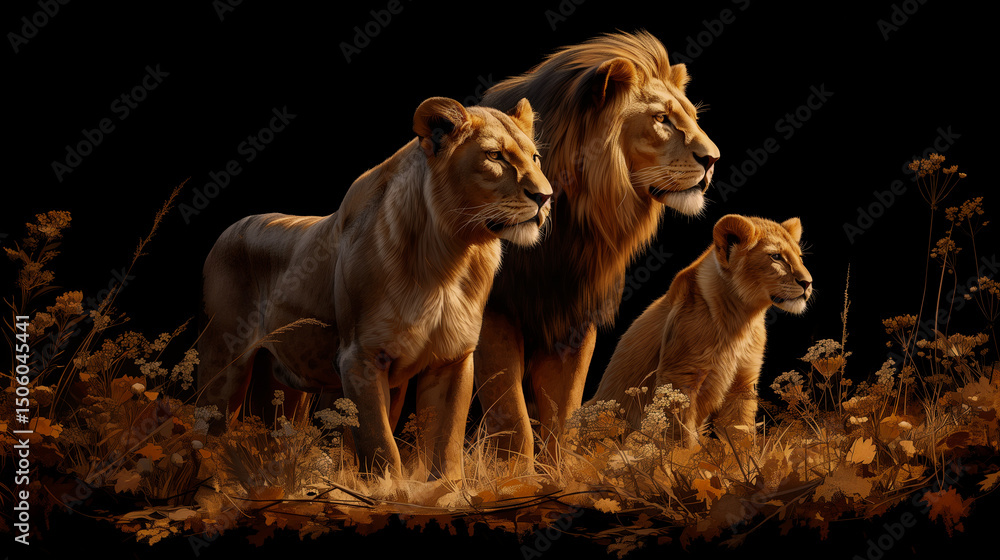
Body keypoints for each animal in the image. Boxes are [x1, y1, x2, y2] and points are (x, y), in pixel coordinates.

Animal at [196, 97, 552, 479]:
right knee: (203, 437)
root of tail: (232, 228)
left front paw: (446, 489)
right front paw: (388, 489)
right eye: (495, 156)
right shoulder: (360, 357)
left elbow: (446, 443)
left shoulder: (452, 358)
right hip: (223, 365)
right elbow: (381, 445)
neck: (450, 256)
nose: (545, 197)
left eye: (535, 158)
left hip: (284, 386)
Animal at [474, 31, 721, 465]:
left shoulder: (574, 315)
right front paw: (515, 477)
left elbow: (563, 413)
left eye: (693, 115)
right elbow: (513, 419)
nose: (713, 160)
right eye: (661, 118)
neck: (571, 224)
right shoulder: (494, 315)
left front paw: (560, 473)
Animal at [587, 214, 813, 447]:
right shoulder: (679, 378)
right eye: (776, 257)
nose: (808, 283)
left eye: (800, 257)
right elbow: (682, 434)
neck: (742, 319)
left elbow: (740, 431)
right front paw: (686, 456)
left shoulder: (743, 383)